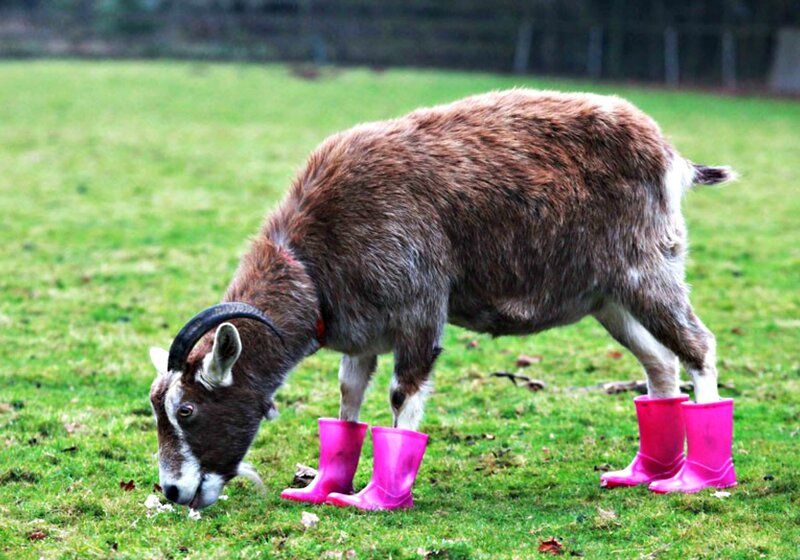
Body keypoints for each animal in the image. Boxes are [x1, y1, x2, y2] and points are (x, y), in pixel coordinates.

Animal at [148, 89, 735, 509]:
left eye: (188, 409)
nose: (174, 492)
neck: (311, 261)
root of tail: (670, 157)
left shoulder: (419, 309)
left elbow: (401, 396)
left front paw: (377, 499)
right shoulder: (363, 333)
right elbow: (348, 399)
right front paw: (322, 487)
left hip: (648, 269)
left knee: (699, 347)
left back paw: (697, 480)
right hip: (608, 297)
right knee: (660, 364)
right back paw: (644, 474)